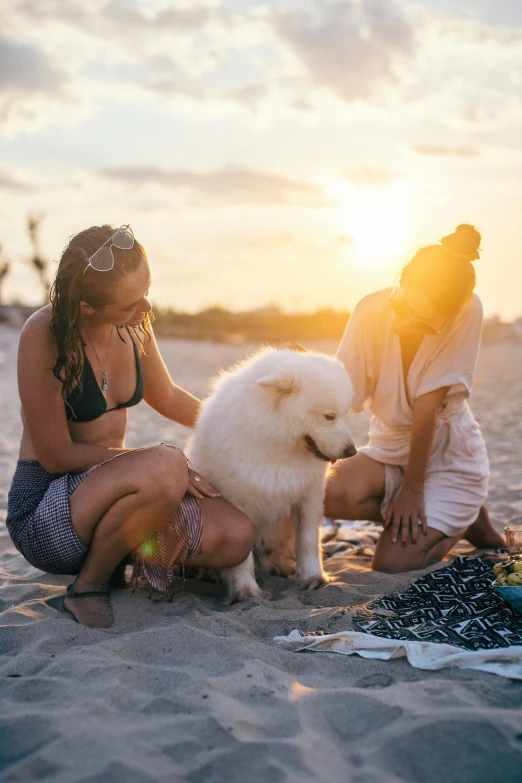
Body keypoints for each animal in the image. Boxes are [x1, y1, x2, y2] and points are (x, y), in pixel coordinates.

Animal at [185, 346, 356, 604]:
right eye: (329, 416)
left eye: (345, 414)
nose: (352, 451)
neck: (277, 443)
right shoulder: (238, 504)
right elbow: (242, 559)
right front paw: (246, 591)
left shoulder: (307, 499)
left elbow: (308, 542)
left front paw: (313, 577)